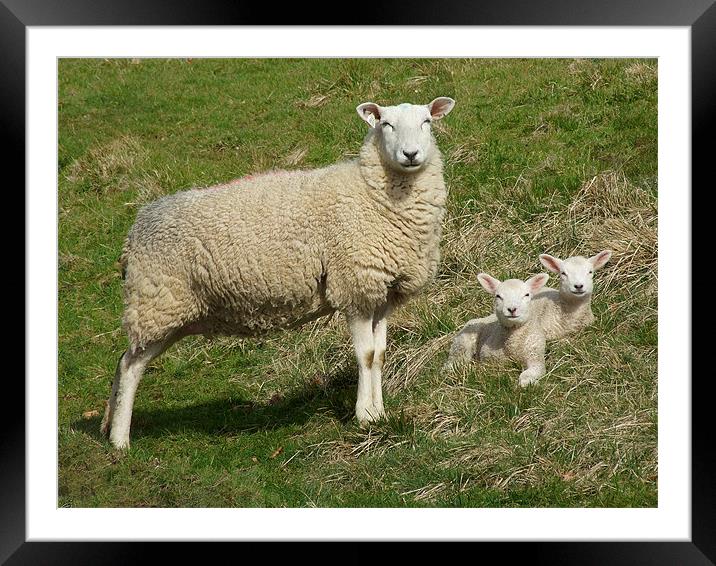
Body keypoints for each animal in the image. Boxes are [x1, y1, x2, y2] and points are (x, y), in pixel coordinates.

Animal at [100, 98, 456, 452]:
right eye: (386, 125)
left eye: (427, 122)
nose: (411, 154)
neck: (373, 194)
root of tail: (135, 230)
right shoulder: (354, 287)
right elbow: (365, 356)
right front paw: (365, 416)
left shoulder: (381, 294)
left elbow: (380, 355)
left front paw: (380, 413)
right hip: (156, 301)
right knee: (131, 367)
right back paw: (120, 441)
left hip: (170, 313)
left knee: (122, 360)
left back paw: (107, 426)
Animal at [444, 251, 612, 388]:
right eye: (563, 273)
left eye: (590, 272)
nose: (578, 286)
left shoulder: (535, 353)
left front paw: (526, 383)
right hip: (462, 343)